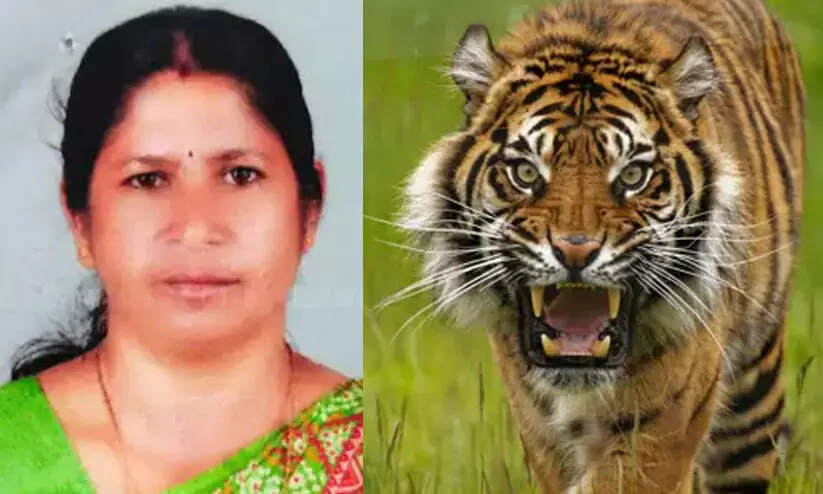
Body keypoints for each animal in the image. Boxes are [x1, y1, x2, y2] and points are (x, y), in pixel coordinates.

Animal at [397, 0, 805, 492]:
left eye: (633, 175)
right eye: (526, 173)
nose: (575, 252)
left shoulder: (654, 435)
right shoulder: (540, 435)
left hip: (750, 407)